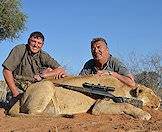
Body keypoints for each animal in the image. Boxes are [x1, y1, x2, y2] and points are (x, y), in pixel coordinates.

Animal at [8, 75, 160, 120]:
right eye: (152, 93)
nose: (160, 101)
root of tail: (21, 94)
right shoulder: (99, 106)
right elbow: (126, 104)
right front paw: (144, 114)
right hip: (47, 85)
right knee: (33, 113)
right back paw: (65, 115)